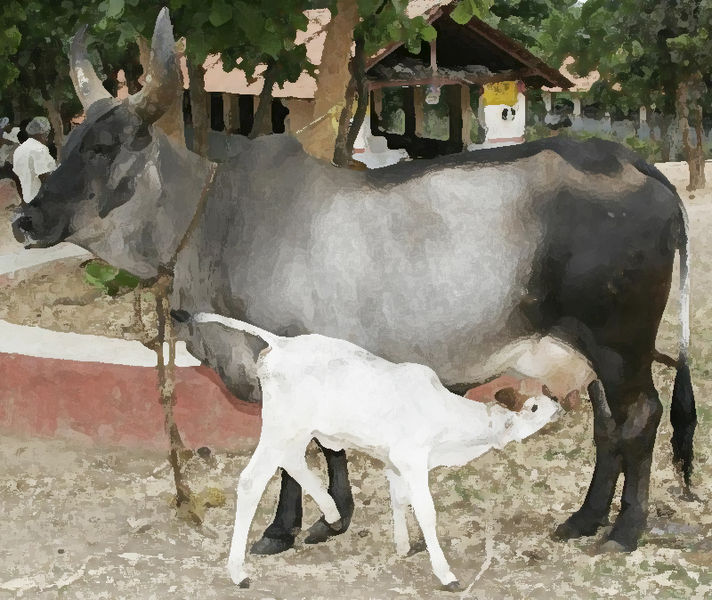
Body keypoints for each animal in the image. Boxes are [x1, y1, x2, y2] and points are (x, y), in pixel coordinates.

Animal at [12, 9, 696, 557]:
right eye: (69, 141)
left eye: (105, 147)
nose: (25, 220)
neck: (212, 220)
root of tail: (645, 171)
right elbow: (330, 444)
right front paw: (331, 519)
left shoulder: (281, 360)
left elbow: (296, 453)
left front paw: (280, 530)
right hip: (585, 351)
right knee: (608, 425)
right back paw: (583, 519)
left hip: (621, 343)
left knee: (641, 417)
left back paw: (623, 532)